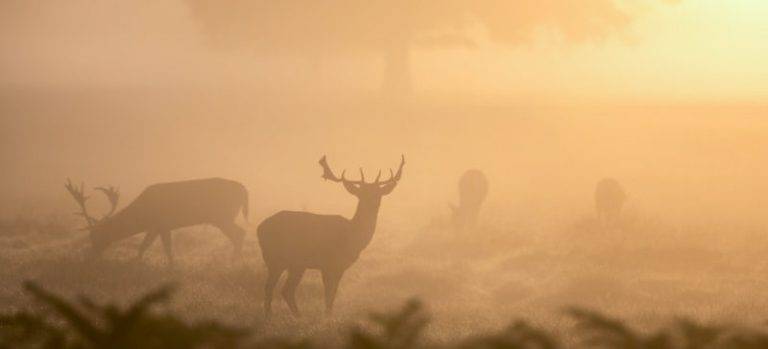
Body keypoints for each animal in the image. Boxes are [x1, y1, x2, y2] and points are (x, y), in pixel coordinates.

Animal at [66, 178, 248, 266]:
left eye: (95, 236)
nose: (90, 257)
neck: (142, 216)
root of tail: (244, 189)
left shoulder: (162, 223)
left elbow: (165, 248)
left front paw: (170, 266)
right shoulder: (155, 227)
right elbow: (144, 246)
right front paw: (137, 262)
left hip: (223, 216)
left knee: (240, 233)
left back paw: (234, 262)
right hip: (223, 217)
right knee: (239, 233)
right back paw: (236, 260)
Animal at [256, 154, 404, 316]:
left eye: (379, 193)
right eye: (362, 193)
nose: (373, 203)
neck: (352, 236)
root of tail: (259, 228)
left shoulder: (340, 266)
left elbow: (333, 294)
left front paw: (329, 315)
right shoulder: (328, 263)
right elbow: (328, 294)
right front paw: (327, 316)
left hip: (296, 264)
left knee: (286, 290)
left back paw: (297, 316)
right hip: (275, 258)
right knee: (270, 287)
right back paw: (269, 315)